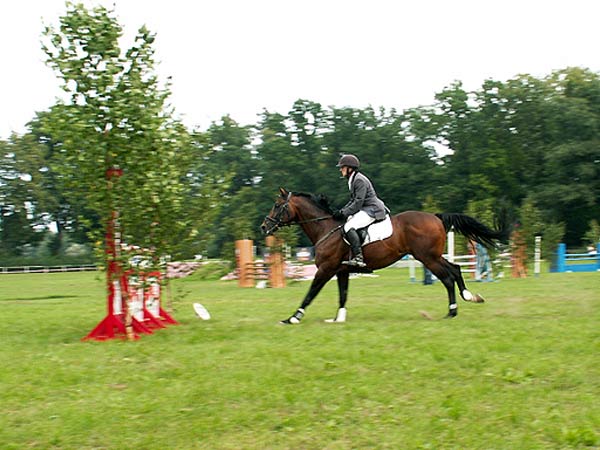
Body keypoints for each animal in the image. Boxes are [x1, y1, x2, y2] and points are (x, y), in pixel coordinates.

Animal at [260, 186, 508, 324]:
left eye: (277, 205)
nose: (264, 227)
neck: (325, 228)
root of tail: (436, 217)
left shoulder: (326, 269)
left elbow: (310, 294)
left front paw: (293, 318)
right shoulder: (341, 271)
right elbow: (343, 295)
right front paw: (338, 319)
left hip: (427, 258)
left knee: (447, 277)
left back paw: (452, 311)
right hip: (433, 256)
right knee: (455, 269)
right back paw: (469, 297)